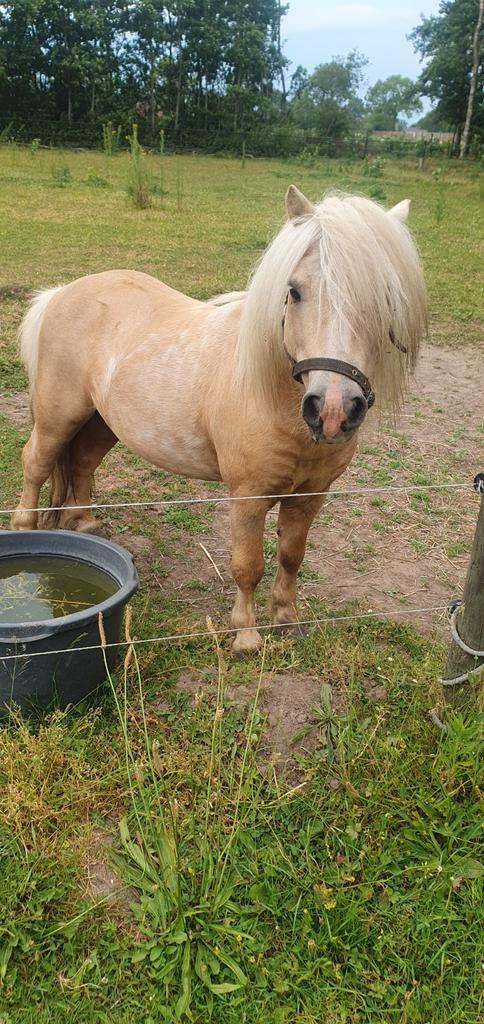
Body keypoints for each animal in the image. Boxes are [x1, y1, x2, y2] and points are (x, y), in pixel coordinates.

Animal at [11, 186, 426, 654]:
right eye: (294, 291)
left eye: (385, 299)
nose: (333, 411)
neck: (271, 396)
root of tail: (62, 292)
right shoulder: (248, 497)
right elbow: (248, 566)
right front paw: (245, 636)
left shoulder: (310, 496)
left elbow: (291, 557)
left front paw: (287, 620)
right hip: (58, 416)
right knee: (36, 463)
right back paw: (24, 527)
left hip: (102, 422)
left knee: (80, 463)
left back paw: (85, 525)